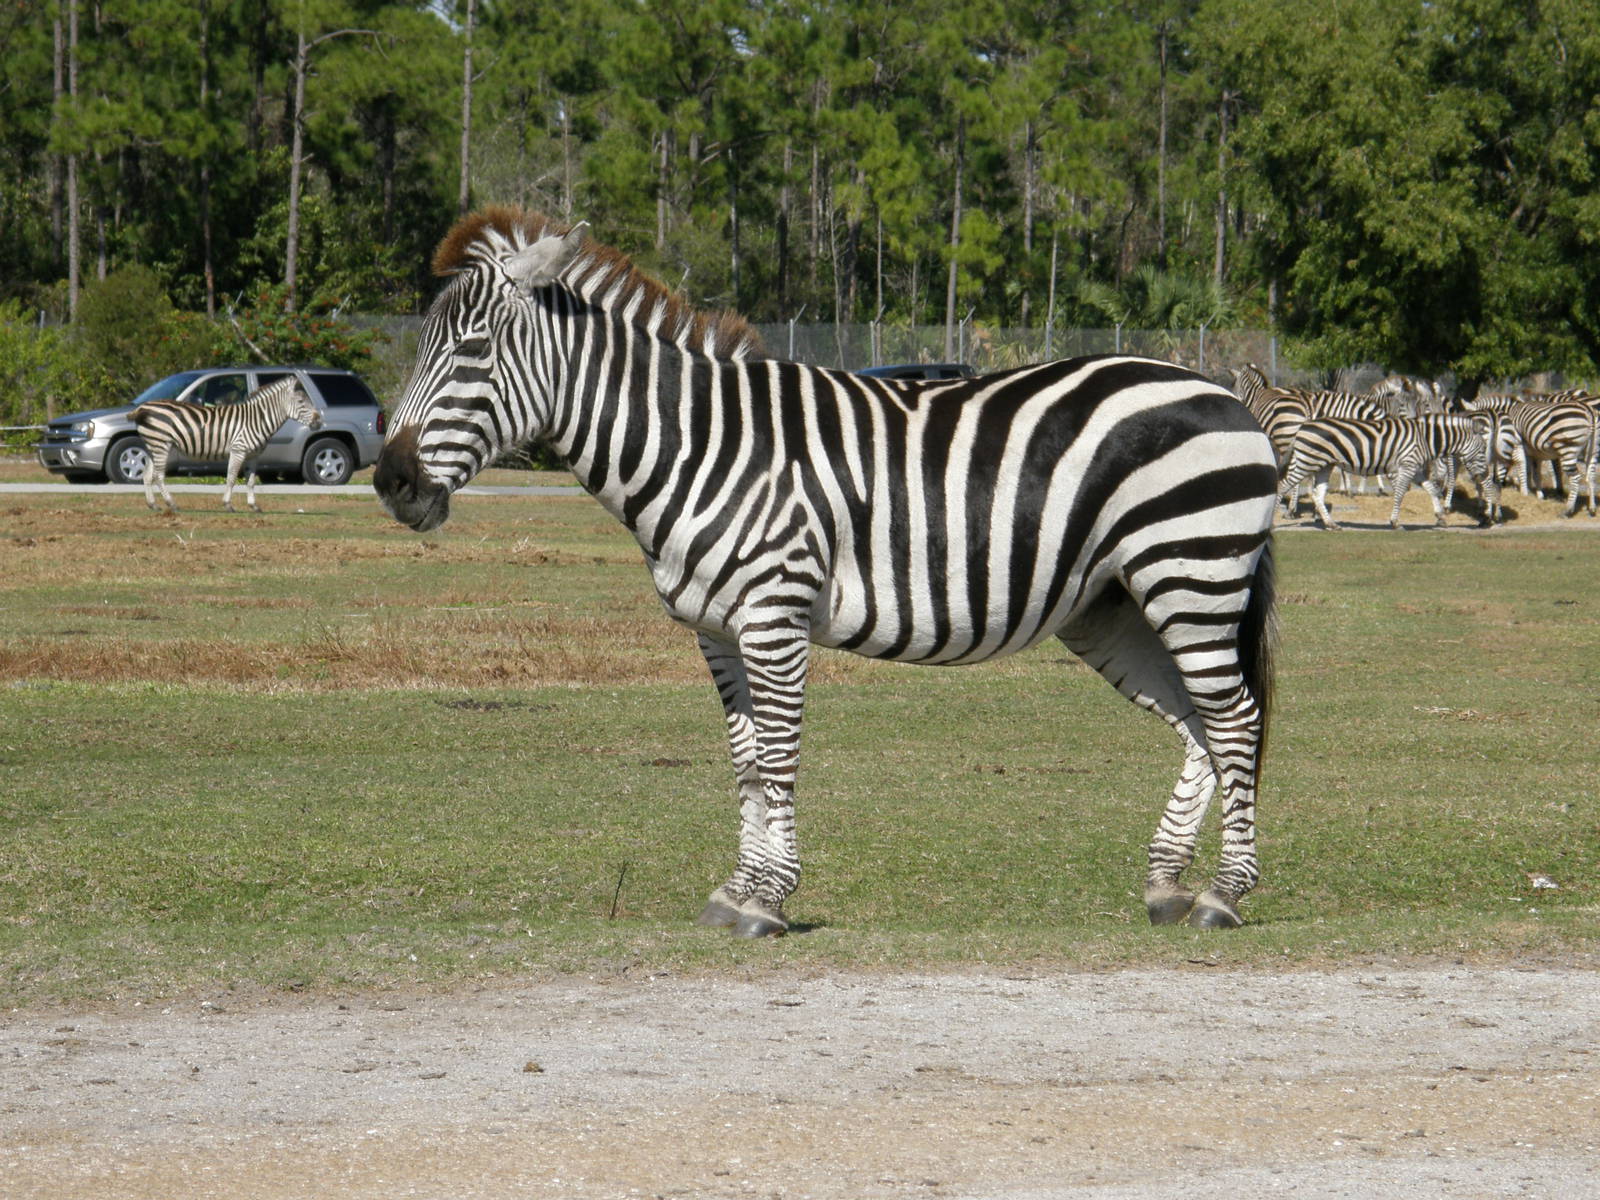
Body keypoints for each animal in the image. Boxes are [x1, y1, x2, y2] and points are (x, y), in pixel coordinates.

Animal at [131, 376, 323, 513]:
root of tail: (143, 407)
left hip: (154, 445)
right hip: (161, 444)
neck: (257, 419)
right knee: (158, 475)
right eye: (301, 402)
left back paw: (153, 505)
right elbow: (231, 478)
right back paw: (172, 504)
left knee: (147, 475)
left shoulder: (254, 455)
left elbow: (251, 481)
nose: (318, 421)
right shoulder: (239, 450)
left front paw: (253, 506)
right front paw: (228, 505)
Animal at [375, 209, 1281, 934]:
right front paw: (739, 889)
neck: (696, 446)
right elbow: (745, 758)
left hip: (1191, 573)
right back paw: (1168, 886)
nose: (391, 481)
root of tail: (1220, 391)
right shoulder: (717, 630)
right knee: (1198, 725)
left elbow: (779, 755)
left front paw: (768, 900)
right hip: (1113, 603)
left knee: (1235, 720)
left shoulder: (774, 614)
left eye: (472, 350)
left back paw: (1224, 896)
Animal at [1278, 415, 1498, 529]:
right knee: (1283, 485)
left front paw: (1441, 517)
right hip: (1307, 461)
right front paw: (1395, 522)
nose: (1486, 474)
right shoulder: (1407, 465)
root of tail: (1304, 425)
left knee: (1317, 493)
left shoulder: (1415, 468)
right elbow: (1400, 493)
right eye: (1481, 450)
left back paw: (1331, 524)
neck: (1425, 438)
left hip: (1325, 464)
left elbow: (1432, 489)